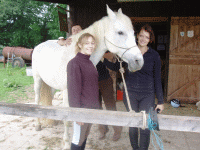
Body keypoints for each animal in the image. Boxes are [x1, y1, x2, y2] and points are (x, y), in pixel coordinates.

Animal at [31, 5, 144, 149]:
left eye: (133, 33)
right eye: (120, 32)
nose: (139, 61)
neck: (76, 56)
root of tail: (39, 46)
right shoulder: (67, 93)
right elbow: (68, 119)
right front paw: (66, 144)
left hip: (51, 84)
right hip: (37, 80)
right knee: (37, 100)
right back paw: (38, 124)